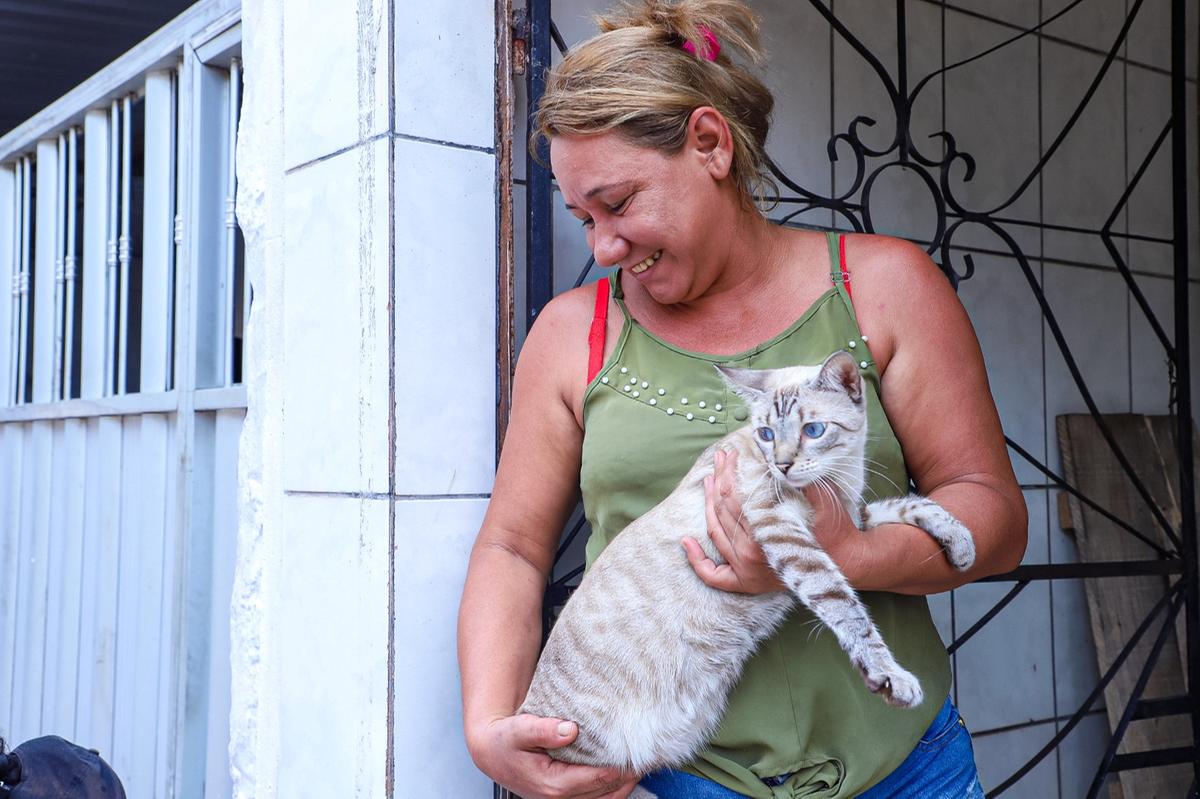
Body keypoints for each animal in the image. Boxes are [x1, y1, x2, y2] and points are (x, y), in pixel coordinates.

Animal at [516, 347, 974, 782]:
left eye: (813, 430)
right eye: (767, 434)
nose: (783, 465)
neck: (840, 479)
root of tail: (523, 710)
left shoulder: (851, 521)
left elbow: (910, 504)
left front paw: (961, 545)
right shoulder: (784, 530)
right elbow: (845, 607)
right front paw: (890, 676)